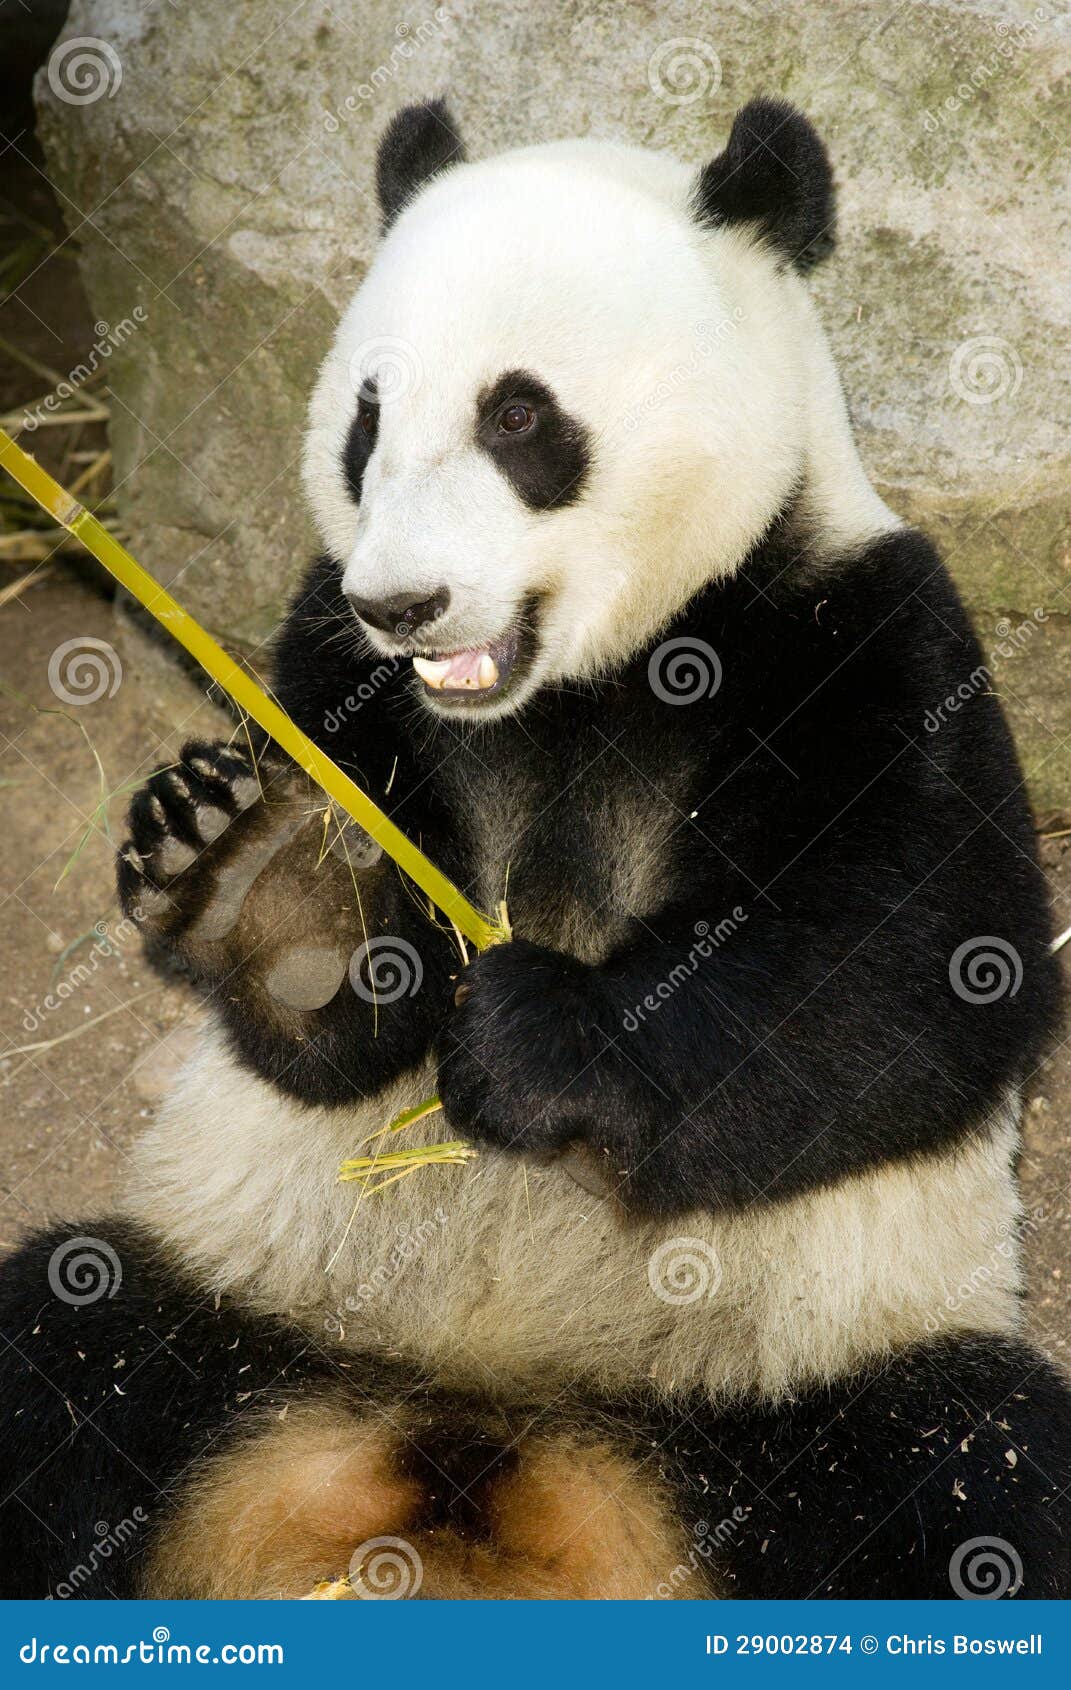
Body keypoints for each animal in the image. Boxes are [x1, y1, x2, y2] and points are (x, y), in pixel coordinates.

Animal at [2, 95, 1070, 1602]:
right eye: (366, 420)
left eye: (519, 415)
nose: (404, 602)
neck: (564, 689)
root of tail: (486, 1443)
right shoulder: (329, 662)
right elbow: (338, 1038)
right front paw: (269, 889)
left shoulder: (861, 625)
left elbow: (917, 975)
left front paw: (537, 1040)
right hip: (227, 1306)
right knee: (62, 1357)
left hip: (802, 1378)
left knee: (966, 1466)